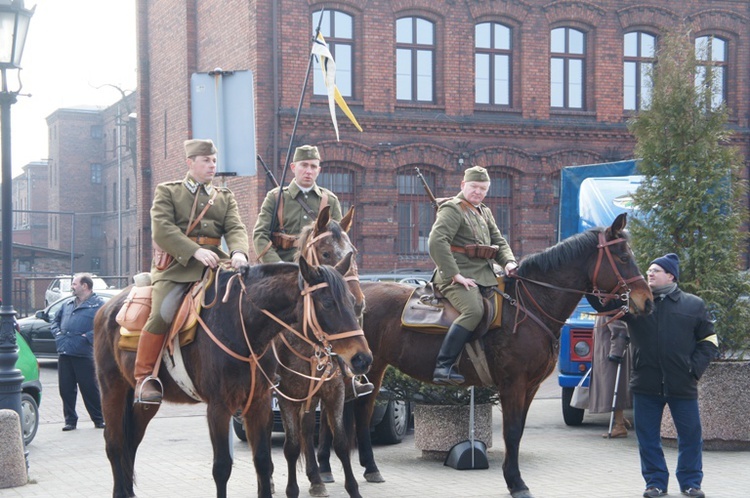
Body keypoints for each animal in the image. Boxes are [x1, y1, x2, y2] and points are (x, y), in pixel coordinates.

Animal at [94, 256, 374, 498]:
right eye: (327, 302)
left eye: (351, 300)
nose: (362, 358)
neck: (242, 328)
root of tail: (106, 307)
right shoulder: (219, 408)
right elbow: (222, 467)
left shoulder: (259, 403)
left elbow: (262, 461)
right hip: (111, 389)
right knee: (114, 443)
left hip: (146, 401)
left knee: (131, 441)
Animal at [320, 213, 656, 498]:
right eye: (624, 257)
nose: (647, 301)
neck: (528, 307)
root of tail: (358, 297)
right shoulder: (513, 384)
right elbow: (512, 431)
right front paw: (516, 482)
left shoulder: (530, 387)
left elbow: (517, 432)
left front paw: (514, 479)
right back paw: (328, 469)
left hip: (373, 370)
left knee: (359, 411)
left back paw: (367, 468)